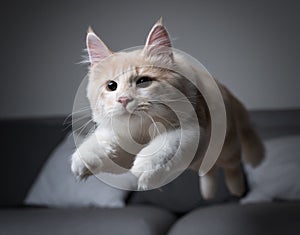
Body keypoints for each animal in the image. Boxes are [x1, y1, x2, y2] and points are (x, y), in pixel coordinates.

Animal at [71, 17, 264, 198]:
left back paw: (237, 190)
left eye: (143, 81)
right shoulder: (120, 141)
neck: (141, 132)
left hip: (226, 147)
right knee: (209, 170)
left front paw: (145, 168)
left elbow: (167, 143)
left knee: (233, 166)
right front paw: (83, 162)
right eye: (111, 86)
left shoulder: (195, 129)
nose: (123, 99)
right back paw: (208, 193)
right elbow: (102, 143)